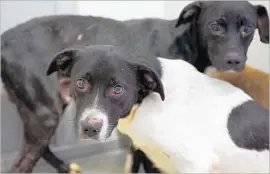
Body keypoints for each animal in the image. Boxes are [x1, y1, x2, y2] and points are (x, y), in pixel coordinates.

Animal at [1, 0, 268, 173]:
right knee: (22, 163)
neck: (182, 40)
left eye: (247, 28)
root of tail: (4, 38)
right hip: (45, 114)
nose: (234, 61)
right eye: (215, 26)